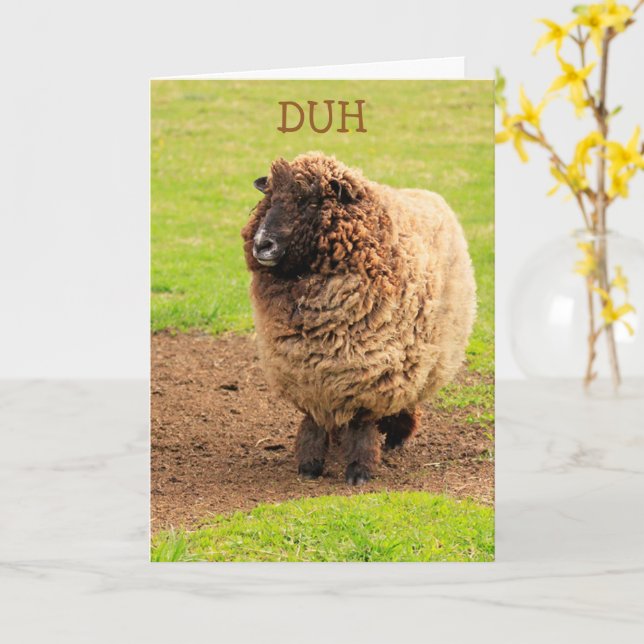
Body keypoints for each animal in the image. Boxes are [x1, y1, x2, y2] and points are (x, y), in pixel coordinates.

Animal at [241, 152, 476, 485]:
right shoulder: (305, 373)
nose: (262, 244)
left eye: (310, 201)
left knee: (408, 400)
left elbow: (362, 425)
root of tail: (426, 194)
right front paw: (310, 465)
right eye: (270, 198)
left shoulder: (372, 373)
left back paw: (396, 434)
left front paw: (359, 470)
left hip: (426, 355)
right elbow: (313, 423)